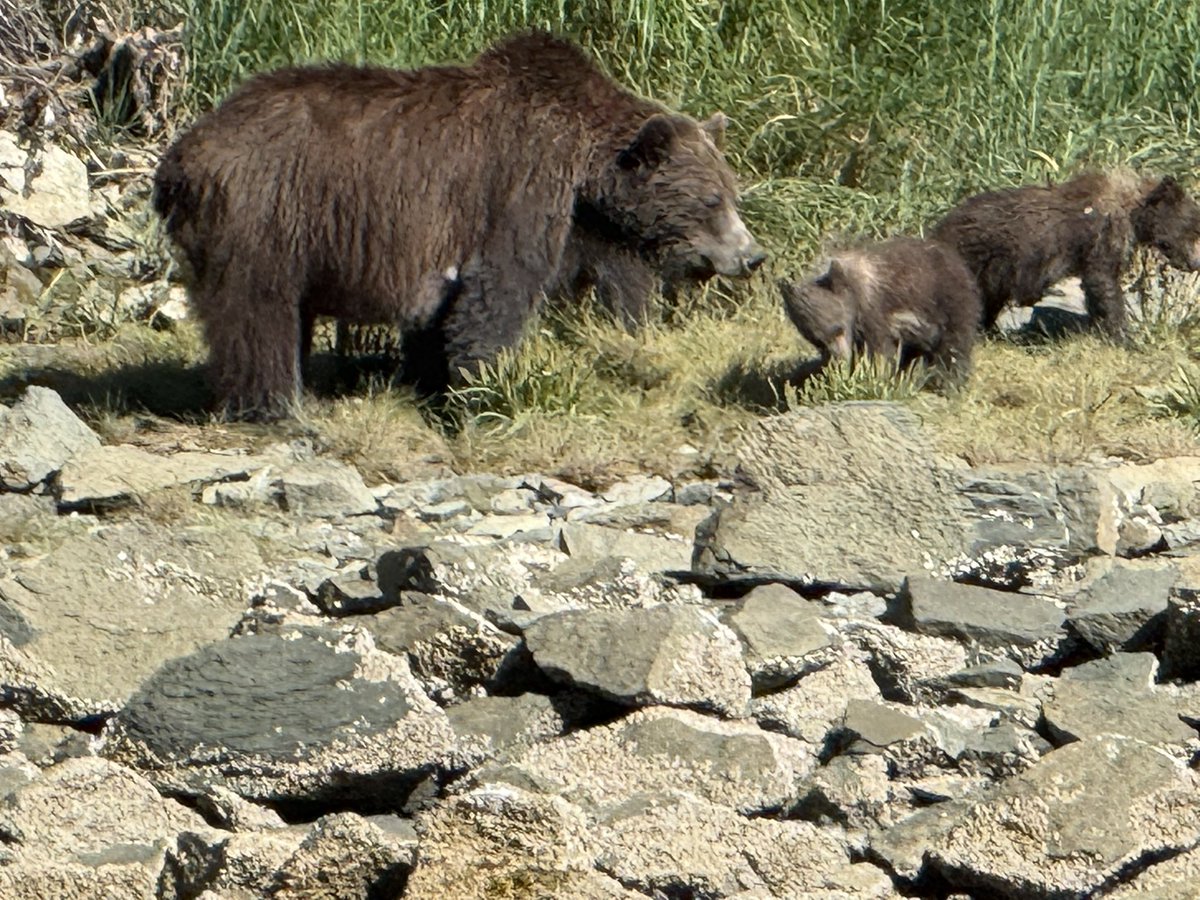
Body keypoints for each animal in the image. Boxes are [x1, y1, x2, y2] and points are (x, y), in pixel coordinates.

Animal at [153, 31, 765, 418]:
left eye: (733, 192)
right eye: (712, 200)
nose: (752, 255)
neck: (584, 173)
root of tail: (180, 156)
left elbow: (440, 313)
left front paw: (428, 379)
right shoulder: (516, 189)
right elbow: (497, 293)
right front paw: (487, 388)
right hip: (267, 214)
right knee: (258, 314)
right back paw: (273, 404)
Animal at [779, 236, 981, 385]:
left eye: (837, 329)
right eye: (818, 341)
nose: (840, 358)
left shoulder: (874, 310)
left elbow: (879, 349)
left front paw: (874, 375)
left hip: (948, 299)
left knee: (955, 342)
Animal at [929, 170, 1200, 338]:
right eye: (1193, 226)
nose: (1195, 262)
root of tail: (939, 229)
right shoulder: (1105, 235)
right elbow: (1103, 282)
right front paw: (1123, 334)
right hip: (977, 259)